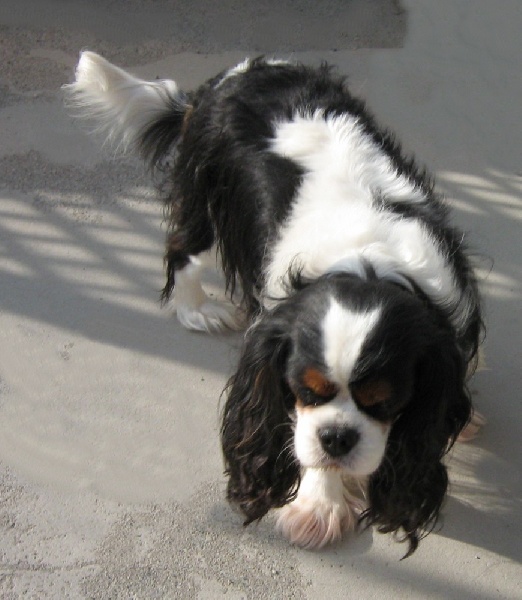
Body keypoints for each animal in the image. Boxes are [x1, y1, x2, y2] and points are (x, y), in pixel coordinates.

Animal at [65, 52, 484, 557]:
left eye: (384, 401)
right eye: (305, 391)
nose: (337, 438)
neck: (367, 262)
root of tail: (234, 74)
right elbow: (306, 445)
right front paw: (320, 506)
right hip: (207, 198)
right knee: (184, 249)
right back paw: (198, 309)